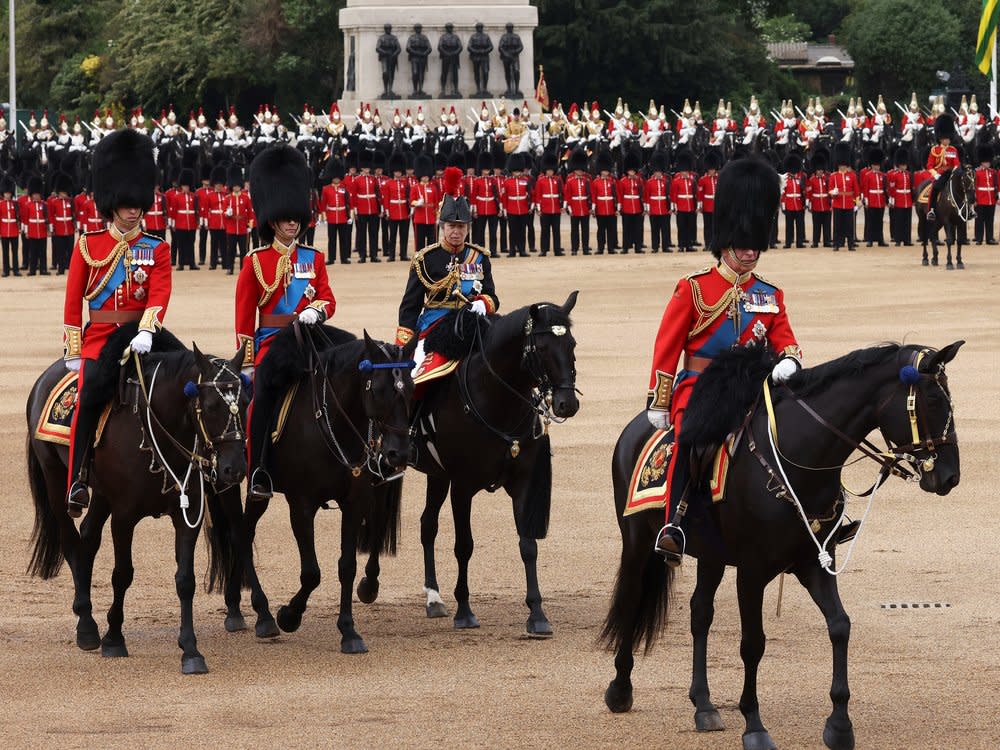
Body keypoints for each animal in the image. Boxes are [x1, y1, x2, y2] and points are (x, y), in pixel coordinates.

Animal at [26, 328, 249, 676]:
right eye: (212, 405)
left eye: (246, 401)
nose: (234, 468)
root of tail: (47, 375)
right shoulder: (124, 516)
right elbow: (122, 574)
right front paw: (114, 638)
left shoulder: (188, 512)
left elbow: (185, 580)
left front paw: (191, 650)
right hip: (54, 478)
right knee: (71, 541)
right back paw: (87, 626)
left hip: (102, 494)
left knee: (88, 538)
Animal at [222, 326, 414, 656]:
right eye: (377, 389)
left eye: (411, 388)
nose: (397, 454)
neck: (334, 422)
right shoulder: (301, 504)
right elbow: (311, 572)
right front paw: (289, 615)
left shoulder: (355, 502)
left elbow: (347, 566)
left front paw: (349, 631)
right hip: (240, 483)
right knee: (242, 534)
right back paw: (262, 614)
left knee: (243, 532)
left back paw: (236, 608)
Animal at [362, 296, 580, 636]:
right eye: (542, 347)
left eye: (571, 343)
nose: (566, 404)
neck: (496, 399)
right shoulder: (463, 487)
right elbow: (464, 545)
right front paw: (464, 611)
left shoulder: (522, 483)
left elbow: (528, 545)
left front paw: (537, 614)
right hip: (387, 463)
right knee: (380, 517)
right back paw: (370, 584)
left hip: (437, 475)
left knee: (427, 525)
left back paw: (434, 598)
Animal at [600, 342, 960, 750]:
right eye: (933, 400)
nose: (950, 476)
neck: (803, 460)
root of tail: (634, 428)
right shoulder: (752, 572)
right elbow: (753, 643)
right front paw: (754, 725)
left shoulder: (814, 562)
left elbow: (840, 625)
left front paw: (839, 725)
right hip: (638, 540)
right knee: (633, 599)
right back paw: (620, 688)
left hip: (711, 554)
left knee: (700, 612)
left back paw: (704, 705)